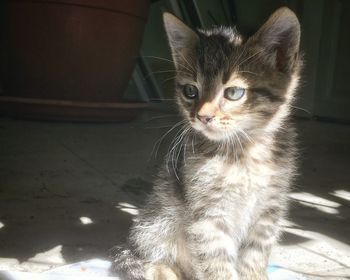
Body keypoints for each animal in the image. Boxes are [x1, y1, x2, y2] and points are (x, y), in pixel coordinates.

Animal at [111, 6, 300, 280]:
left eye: (234, 93)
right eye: (190, 91)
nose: (202, 116)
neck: (244, 151)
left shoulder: (268, 210)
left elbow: (255, 255)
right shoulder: (208, 216)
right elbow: (216, 262)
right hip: (156, 220)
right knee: (145, 255)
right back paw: (162, 270)